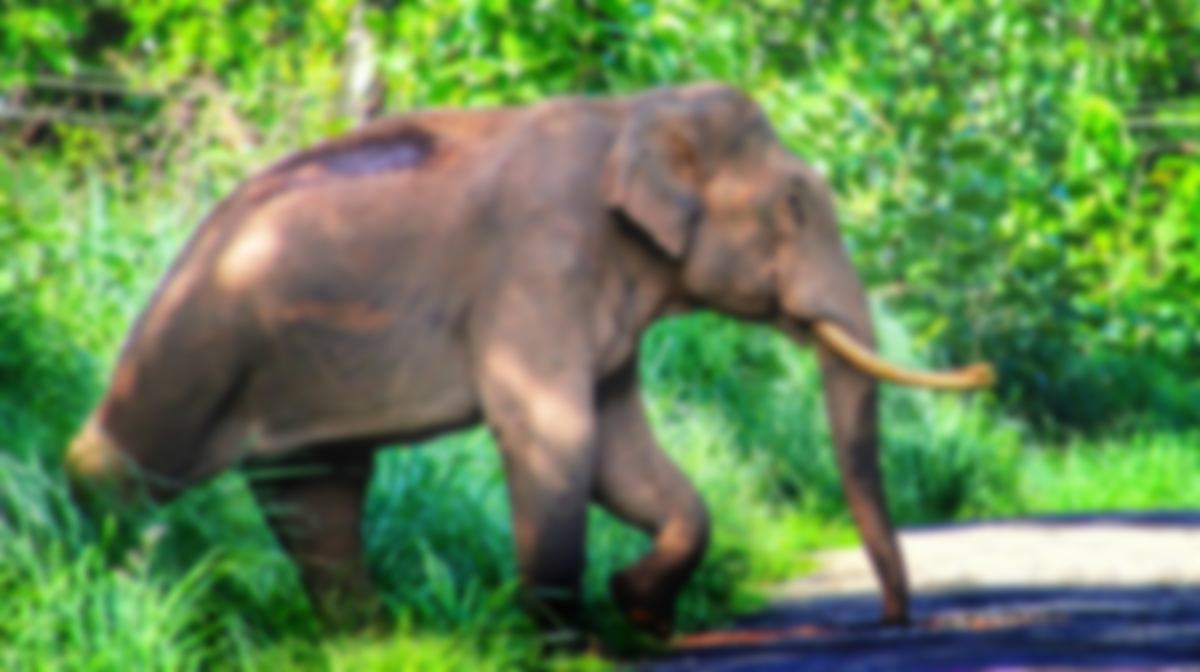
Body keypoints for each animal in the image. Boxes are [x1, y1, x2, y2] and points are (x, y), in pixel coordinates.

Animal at [65, 82, 993, 638]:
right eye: (796, 204)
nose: (893, 621)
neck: (629, 115)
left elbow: (623, 453)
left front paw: (638, 610)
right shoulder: (539, 260)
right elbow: (554, 433)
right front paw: (571, 644)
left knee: (317, 493)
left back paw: (368, 639)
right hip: (196, 338)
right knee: (129, 466)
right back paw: (111, 572)